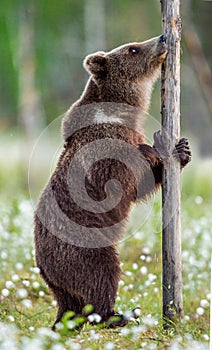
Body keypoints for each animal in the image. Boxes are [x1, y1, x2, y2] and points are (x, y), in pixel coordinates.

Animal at [34, 36, 190, 330]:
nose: (162, 38)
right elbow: (124, 180)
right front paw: (161, 145)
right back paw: (119, 314)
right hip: (83, 246)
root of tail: (46, 270)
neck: (118, 115)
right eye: (133, 48)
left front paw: (183, 149)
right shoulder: (104, 150)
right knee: (101, 274)